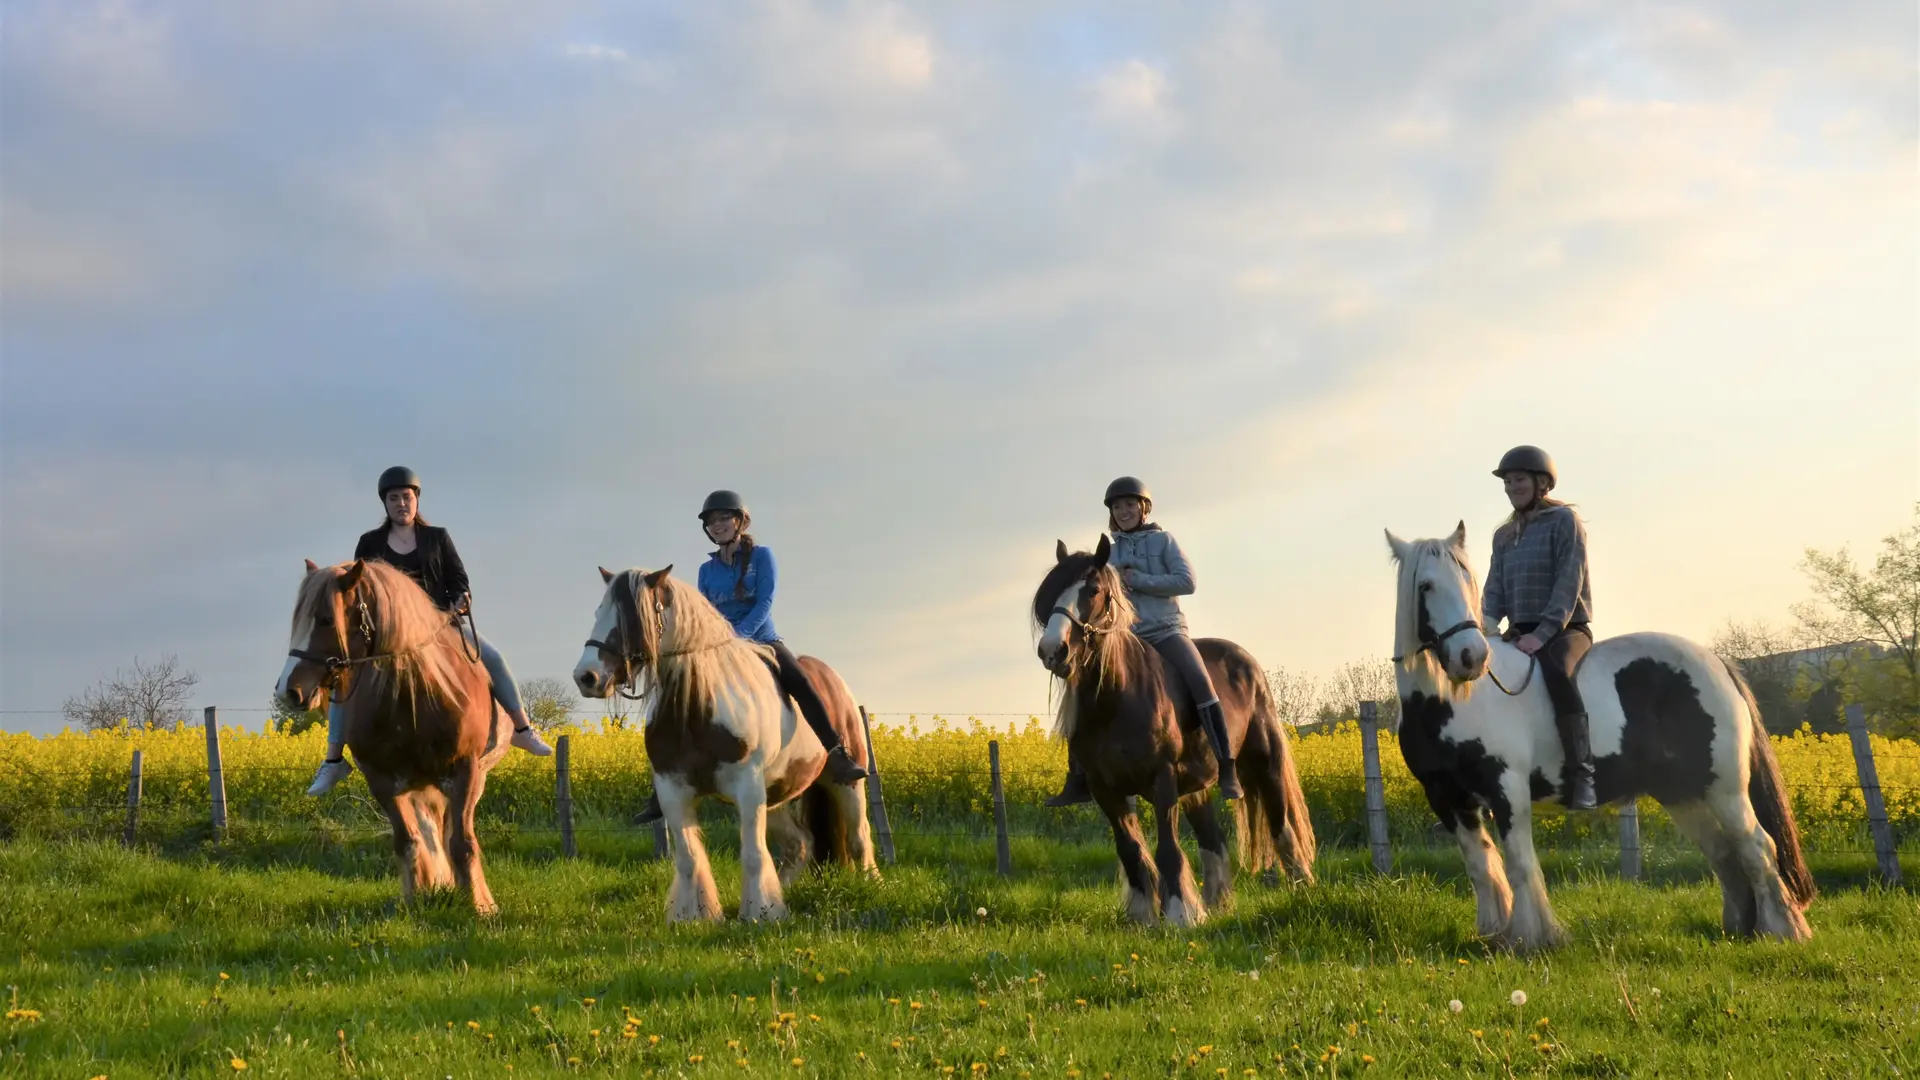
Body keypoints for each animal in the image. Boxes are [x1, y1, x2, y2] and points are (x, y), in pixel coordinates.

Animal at [275, 559, 512, 916]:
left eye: (327, 619)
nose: (287, 691)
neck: (412, 694)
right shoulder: (383, 781)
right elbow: (409, 841)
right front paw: (415, 898)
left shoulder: (465, 773)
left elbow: (462, 843)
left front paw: (479, 906)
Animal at [572, 566, 877, 923]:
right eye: (599, 613)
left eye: (630, 618)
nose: (586, 677)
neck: (697, 704)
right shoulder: (673, 790)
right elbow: (689, 859)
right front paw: (694, 916)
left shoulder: (747, 787)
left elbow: (753, 854)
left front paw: (758, 914)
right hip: (775, 796)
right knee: (800, 844)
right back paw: (783, 895)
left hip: (844, 784)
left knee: (859, 838)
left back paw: (872, 886)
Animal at [1034, 537, 1317, 927]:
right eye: (1050, 593)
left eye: (1093, 590)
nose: (1052, 651)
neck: (1115, 699)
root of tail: (1246, 660)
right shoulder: (1106, 789)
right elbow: (1131, 851)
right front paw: (1143, 916)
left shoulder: (1162, 779)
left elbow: (1167, 848)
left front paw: (1180, 915)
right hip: (1197, 788)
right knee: (1213, 839)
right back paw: (1217, 904)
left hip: (1265, 763)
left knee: (1281, 824)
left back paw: (1301, 886)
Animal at [1385, 524, 1814, 951]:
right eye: (1425, 586)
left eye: (1467, 579)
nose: (1471, 657)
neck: (1448, 703)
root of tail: (1717, 662)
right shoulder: (1447, 797)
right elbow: (1481, 866)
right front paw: (1495, 933)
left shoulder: (1508, 787)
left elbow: (1520, 863)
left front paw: (1530, 938)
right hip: (1685, 794)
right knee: (1724, 853)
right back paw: (1739, 927)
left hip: (1725, 790)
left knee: (1758, 846)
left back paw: (1782, 930)